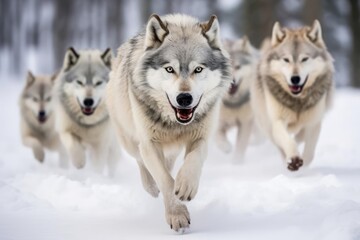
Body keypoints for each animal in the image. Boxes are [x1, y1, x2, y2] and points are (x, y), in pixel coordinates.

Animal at [105, 14, 232, 232]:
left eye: (198, 69)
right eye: (170, 69)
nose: (184, 98)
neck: (175, 123)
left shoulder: (201, 138)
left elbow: (193, 161)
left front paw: (186, 186)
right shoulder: (149, 143)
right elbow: (164, 179)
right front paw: (177, 215)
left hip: (170, 149)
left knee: (169, 164)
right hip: (129, 140)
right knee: (142, 161)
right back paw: (151, 186)